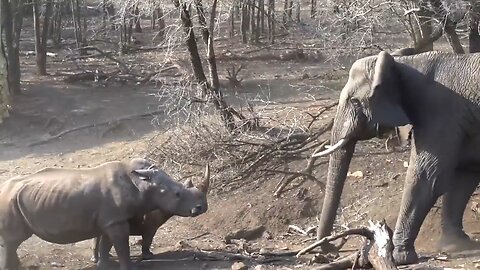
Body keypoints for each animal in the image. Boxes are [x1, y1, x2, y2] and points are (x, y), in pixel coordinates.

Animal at [0, 157, 208, 268]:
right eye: (177, 194)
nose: (202, 208)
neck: (141, 184)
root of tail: (3, 188)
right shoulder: (115, 221)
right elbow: (121, 247)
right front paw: (127, 267)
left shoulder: (112, 220)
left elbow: (106, 245)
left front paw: (103, 266)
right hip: (9, 201)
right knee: (13, 240)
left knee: (12, 242)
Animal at [312, 48, 480, 264]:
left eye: (355, 101)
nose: (331, 249)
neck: (405, 63)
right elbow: (464, 176)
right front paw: (456, 245)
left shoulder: (440, 113)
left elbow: (428, 176)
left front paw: (398, 257)